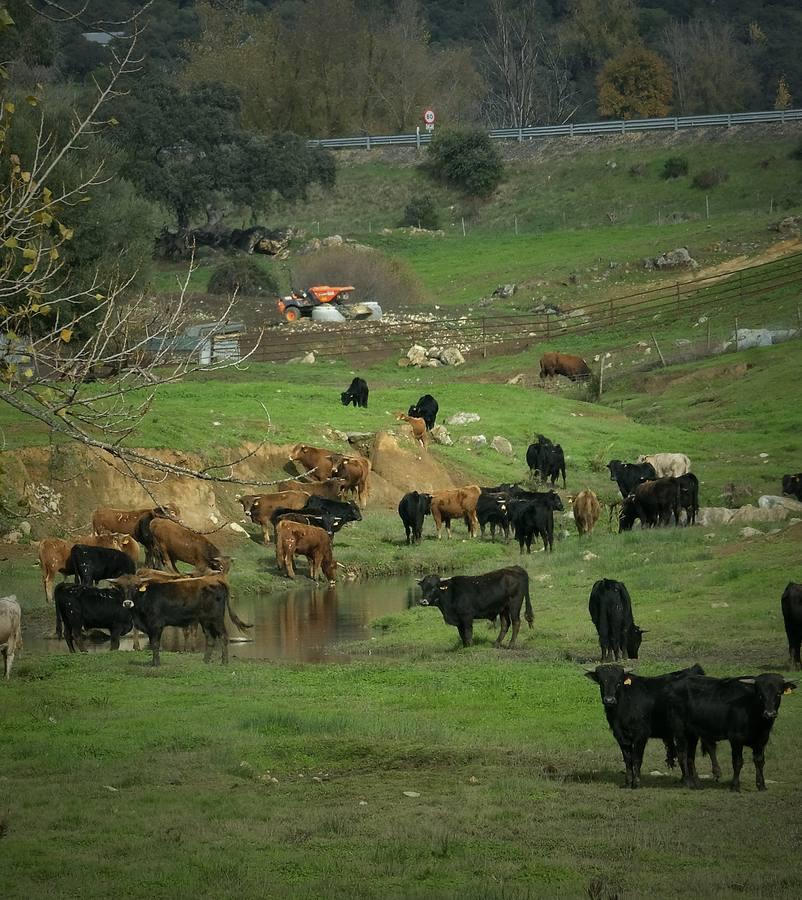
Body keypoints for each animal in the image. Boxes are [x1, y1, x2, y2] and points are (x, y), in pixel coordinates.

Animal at [112, 572, 250, 664]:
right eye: (121, 588)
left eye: (135, 587)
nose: (127, 603)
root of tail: (215, 581)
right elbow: (152, 644)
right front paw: (153, 662)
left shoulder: (156, 625)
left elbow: (155, 644)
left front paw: (156, 664)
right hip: (205, 620)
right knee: (210, 638)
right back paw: (205, 661)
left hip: (216, 618)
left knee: (223, 636)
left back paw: (224, 662)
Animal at [580, 664, 720, 792]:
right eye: (601, 682)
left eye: (618, 682)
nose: (609, 700)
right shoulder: (620, 736)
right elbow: (627, 760)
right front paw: (627, 783)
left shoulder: (641, 735)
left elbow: (637, 758)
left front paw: (636, 783)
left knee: (700, 750)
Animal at [664, 672, 792, 792]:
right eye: (760, 694)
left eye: (778, 693)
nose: (769, 713)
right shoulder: (736, 739)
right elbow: (738, 762)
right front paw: (735, 786)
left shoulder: (762, 740)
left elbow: (759, 761)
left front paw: (761, 785)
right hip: (680, 730)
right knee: (682, 754)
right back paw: (688, 782)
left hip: (692, 733)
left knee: (690, 757)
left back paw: (697, 783)